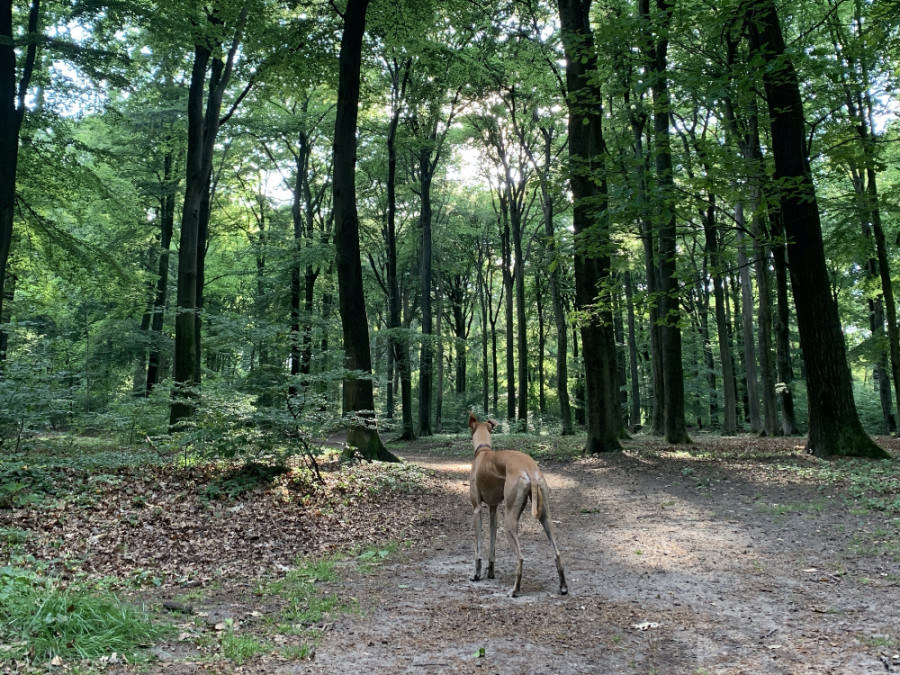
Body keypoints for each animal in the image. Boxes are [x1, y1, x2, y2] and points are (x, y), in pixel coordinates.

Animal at [468, 412, 568, 596]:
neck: (483, 451)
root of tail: (529, 468)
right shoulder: (493, 509)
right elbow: (492, 545)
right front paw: (490, 571)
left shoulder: (477, 509)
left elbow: (478, 548)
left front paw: (476, 574)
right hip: (544, 516)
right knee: (557, 553)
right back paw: (563, 586)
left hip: (509, 520)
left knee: (520, 558)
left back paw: (515, 589)